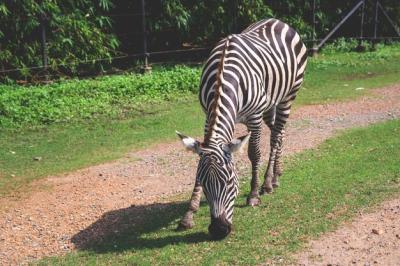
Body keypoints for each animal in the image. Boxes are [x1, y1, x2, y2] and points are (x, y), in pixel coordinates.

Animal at [177, 18, 308, 239]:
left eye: (230, 181)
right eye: (203, 182)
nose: (218, 230)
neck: (223, 79)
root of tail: (278, 21)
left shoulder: (254, 117)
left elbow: (254, 154)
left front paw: (253, 195)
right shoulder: (207, 117)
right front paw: (189, 213)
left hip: (288, 96)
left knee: (276, 136)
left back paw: (268, 183)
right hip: (270, 104)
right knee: (279, 133)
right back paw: (277, 173)